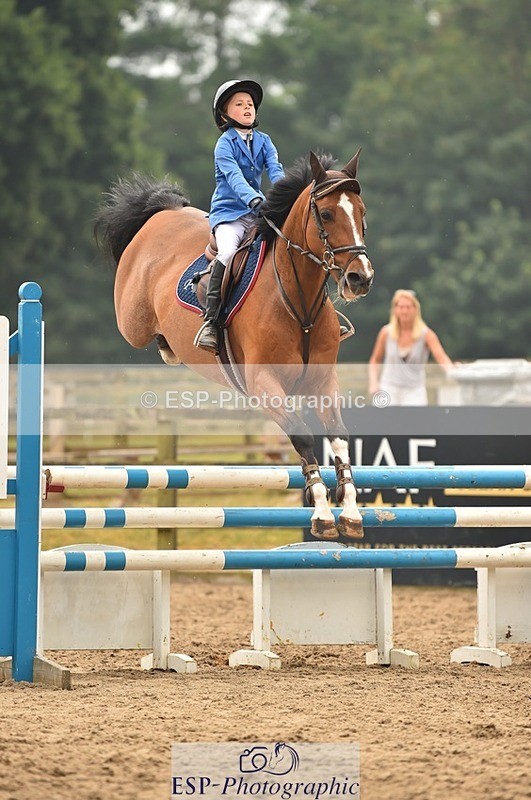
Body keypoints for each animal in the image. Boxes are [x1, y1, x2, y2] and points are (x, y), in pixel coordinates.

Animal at [95, 150, 374, 540]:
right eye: (327, 214)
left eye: (362, 213)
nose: (360, 278)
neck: (297, 302)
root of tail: (163, 212)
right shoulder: (263, 384)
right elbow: (303, 437)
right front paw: (320, 512)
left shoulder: (322, 382)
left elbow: (338, 437)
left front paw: (349, 512)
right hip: (131, 321)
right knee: (135, 330)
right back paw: (167, 344)